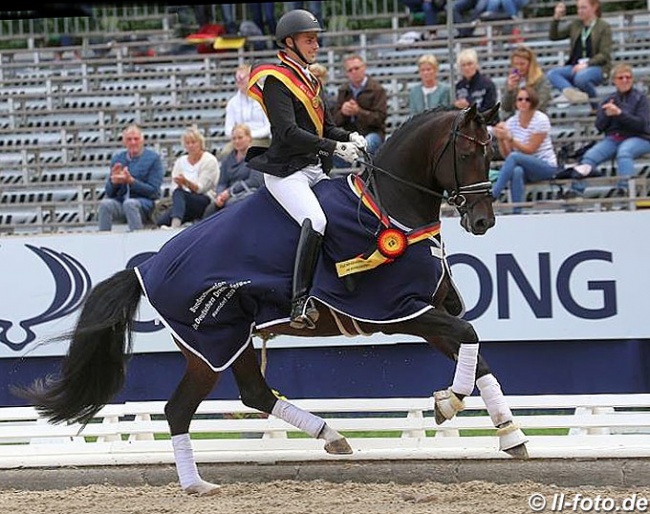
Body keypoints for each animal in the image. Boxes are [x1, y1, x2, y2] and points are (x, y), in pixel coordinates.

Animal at [12, 104, 528, 492]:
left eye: (493, 149)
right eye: (468, 150)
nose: (483, 221)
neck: (391, 209)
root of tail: (148, 268)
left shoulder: (427, 311)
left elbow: (476, 354)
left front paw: (510, 435)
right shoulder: (399, 311)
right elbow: (468, 337)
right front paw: (448, 403)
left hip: (232, 339)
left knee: (251, 393)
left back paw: (326, 437)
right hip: (212, 342)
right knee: (182, 408)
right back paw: (198, 485)